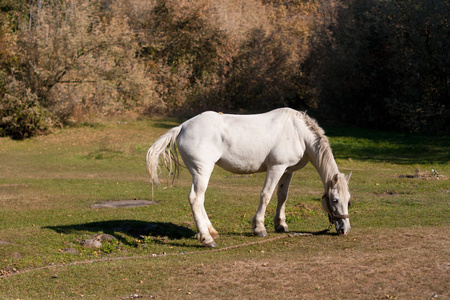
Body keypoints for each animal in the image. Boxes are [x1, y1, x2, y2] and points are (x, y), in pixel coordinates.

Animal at [148, 109, 352, 247]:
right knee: (195, 199)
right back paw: (207, 239)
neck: (298, 133)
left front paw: (281, 224)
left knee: (200, 200)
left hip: (199, 173)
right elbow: (266, 195)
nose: (345, 229)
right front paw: (259, 228)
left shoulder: (287, 171)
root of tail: (182, 126)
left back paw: (210, 231)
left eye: (348, 201)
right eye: (334, 200)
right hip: (202, 171)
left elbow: (282, 196)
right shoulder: (276, 168)